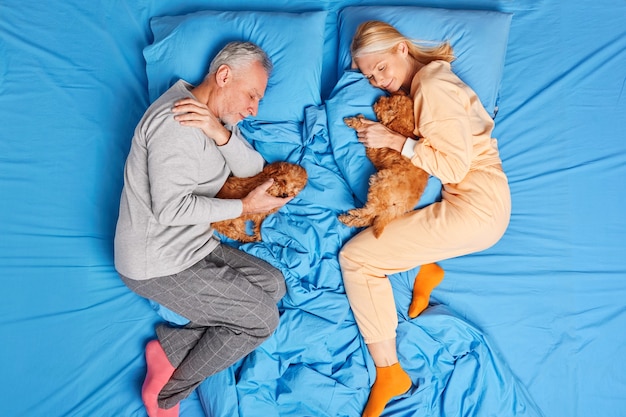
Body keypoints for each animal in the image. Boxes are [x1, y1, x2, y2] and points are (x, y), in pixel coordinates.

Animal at [342, 94, 428, 237]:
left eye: (389, 106)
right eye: (390, 96)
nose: (379, 98)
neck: (403, 125)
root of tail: (400, 207)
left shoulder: (375, 147)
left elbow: (363, 125)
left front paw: (354, 121)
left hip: (380, 183)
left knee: (370, 212)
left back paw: (353, 213)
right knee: (369, 218)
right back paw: (346, 219)